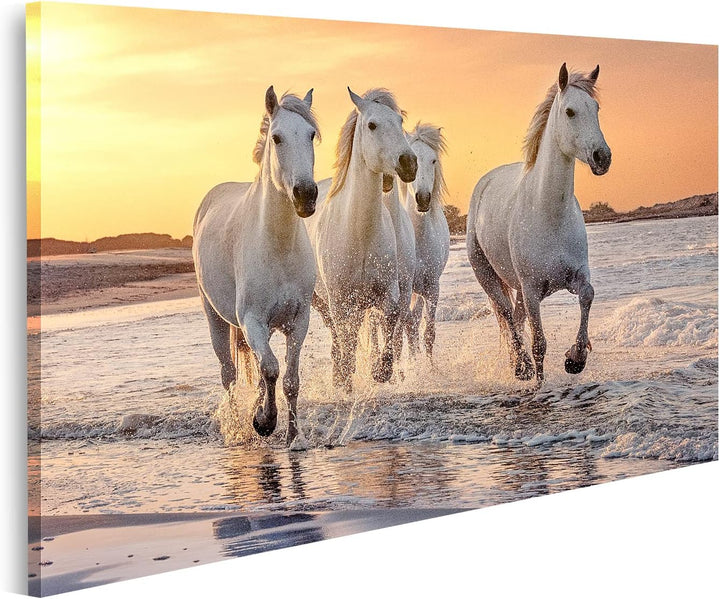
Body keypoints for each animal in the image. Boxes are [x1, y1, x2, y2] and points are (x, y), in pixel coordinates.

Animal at [193, 86, 320, 444]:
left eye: (311, 135)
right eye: (277, 138)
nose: (306, 195)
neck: (277, 246)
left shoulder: (298, 321)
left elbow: (289, 379)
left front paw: (293, 436)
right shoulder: (252, 321)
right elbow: (271, 369)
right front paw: (264, 422)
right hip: (216, 319)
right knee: (229, 375)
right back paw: (238, 426)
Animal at [306, 87, 417, 392]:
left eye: (400, 122)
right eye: (372, 125)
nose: (409, 163)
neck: (360, 234)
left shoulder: (388, 293)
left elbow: (390, 323)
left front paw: (381, 371)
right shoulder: (341, 301)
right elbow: (347, 338)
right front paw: (346, 378)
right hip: (322, 301)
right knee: (338, 335)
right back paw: (339, 376)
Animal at [466, 63, 611, 382]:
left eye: (596, 108)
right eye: (570, 111)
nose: (602, 157)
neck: (549, 214)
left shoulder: (576, 276)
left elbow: (588, 295)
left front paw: (575, 358)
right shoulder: (532, 290)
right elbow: (539, 344)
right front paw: (540, 381)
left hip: (518, 289)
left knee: (515, 319)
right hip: (489, 277)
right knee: (508, 316)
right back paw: (521, 367)